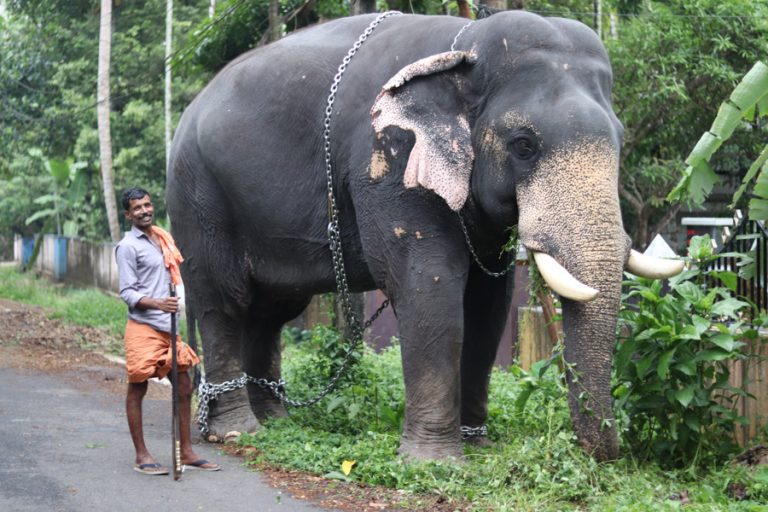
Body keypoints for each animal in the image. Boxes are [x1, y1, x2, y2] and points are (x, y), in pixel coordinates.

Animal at [168, 10, 684, 462]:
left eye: (620, 139)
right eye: (524, 145)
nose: (606, 453)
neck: (463, 48)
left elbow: (489, 304)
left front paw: (478, 445)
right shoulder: (390, 156)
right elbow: (430, 287)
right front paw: (434, 462)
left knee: (272, 310)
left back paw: (275, 419)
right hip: (197, 195)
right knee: (222, 300)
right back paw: (238, 430)